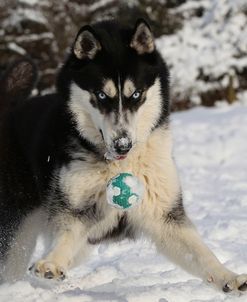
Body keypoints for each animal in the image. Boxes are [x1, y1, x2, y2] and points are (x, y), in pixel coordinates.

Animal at [0, 19, 247, 292]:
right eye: (101, 95)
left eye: (136, 94)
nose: (123, 144)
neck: (121, 165)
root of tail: (9, 110)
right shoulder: (74, 207)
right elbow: (66, 236)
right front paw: (51, 264)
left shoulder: (163, 214)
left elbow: (201, 254)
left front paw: (228, 277)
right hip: (17, 231)